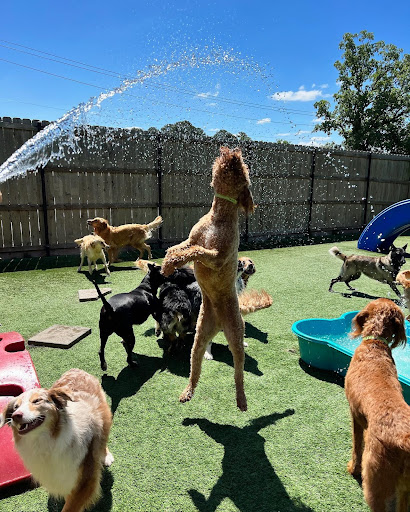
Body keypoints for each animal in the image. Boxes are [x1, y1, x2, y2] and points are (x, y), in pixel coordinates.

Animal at [0, 368, 113, 512]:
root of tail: (76, 370)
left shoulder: (85, 481)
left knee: (103, 439)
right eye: (15, 407)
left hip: (104, 420)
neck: (44, 441)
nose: (15, 416)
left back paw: (106, 456)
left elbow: (70, 507)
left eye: (37, 401)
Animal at [161, 146, 255, 410]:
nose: (232, 151)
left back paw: (241, 400)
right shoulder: (191, 238)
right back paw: (187, 393)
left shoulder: (216, 255)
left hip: (235, 336)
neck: (217, 218)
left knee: (239, 373)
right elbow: (177, 248)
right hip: (199, 340)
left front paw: (172, 263)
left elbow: (196, 251)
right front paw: (167, 264)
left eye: (243, 170)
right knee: (195, 369)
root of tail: (219, 325)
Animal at [344, 298, 408, 510]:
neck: (375, 344)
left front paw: (352, 469)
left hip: (375, 480)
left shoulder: (354, 415)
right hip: (405, 488)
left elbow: (357, 446)